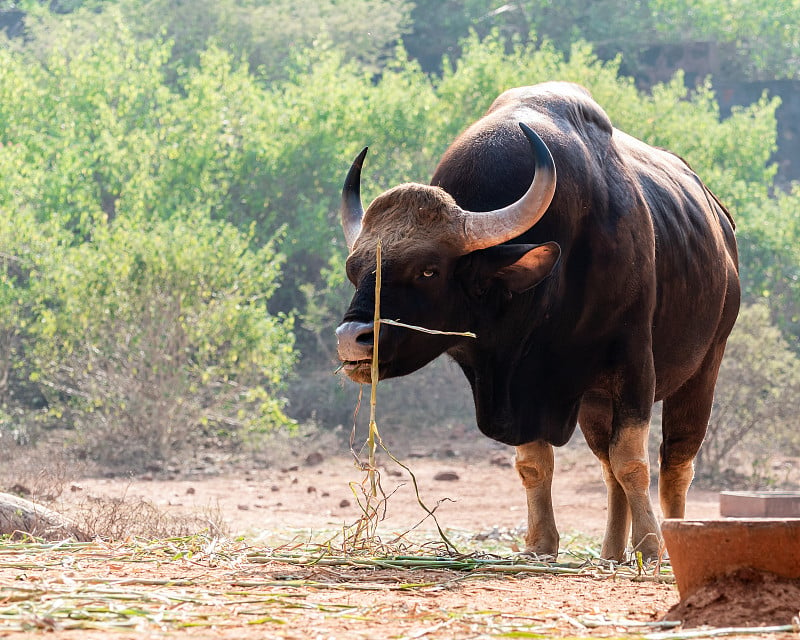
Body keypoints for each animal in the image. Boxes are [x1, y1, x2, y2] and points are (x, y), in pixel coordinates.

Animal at [332, 81, 736, 560]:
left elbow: (633, 463)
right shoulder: (518, 379)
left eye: (428, 270)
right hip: (595, 401)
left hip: (703, 369)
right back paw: (611, 551)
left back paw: (671, 536)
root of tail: (722, 224)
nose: (351, 339)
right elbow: (536, 464)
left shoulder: (634, 366)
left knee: (675, 464)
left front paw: (652, 546)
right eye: (355, 269)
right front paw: (542, 543)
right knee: (607, 467)